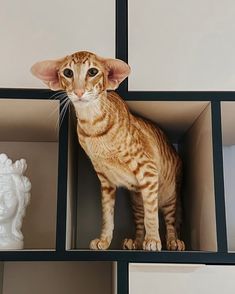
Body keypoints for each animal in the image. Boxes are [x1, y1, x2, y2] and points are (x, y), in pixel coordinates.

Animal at [31, 51, 185, 250]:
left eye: (92, 72)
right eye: (68, 73)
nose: (79, 91)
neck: (93, 129)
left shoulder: (148, 169)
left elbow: (152, 215)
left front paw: (152, 240)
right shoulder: (105, 180)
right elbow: (107, 215)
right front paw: (104, 240)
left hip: (169, 194)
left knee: (170, 220)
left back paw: (173, 241)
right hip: (136, 200)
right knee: (139, 221)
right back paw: (135, 241)